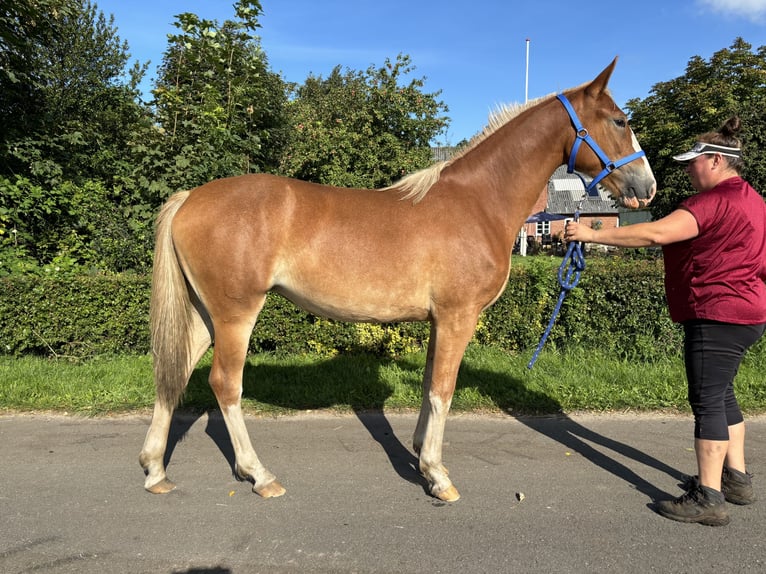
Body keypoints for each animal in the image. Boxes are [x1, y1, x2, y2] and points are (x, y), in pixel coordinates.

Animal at [141, 56, 656, 502]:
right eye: (619, 121)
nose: (646, 186)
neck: (477, 201)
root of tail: (189, 199)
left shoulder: (438, 321)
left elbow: (430, 385)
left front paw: (420, 455)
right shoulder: (457, 317)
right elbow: (443, 390)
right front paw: (438, 476)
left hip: (205, 315)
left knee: (175, 373)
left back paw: (155, 470)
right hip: (235, 314)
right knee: (225, 384)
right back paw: (260, 475)